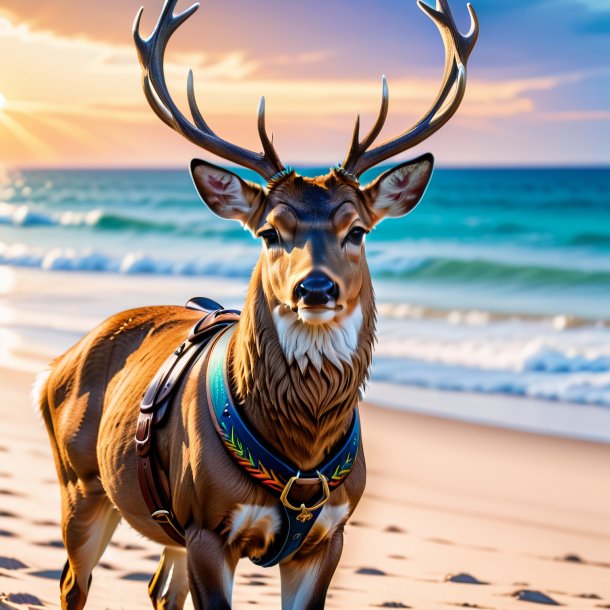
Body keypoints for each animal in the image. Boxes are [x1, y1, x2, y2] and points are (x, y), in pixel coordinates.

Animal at [35, 1, 478, 608]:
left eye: (357, 230)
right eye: (270, 231)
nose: (315, 289)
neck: (302, 453)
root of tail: (55, 366)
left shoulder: (329, 535)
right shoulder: (207, 525)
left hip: (161, 525)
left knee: (159, 588)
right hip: (80, 483)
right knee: (71, 582)